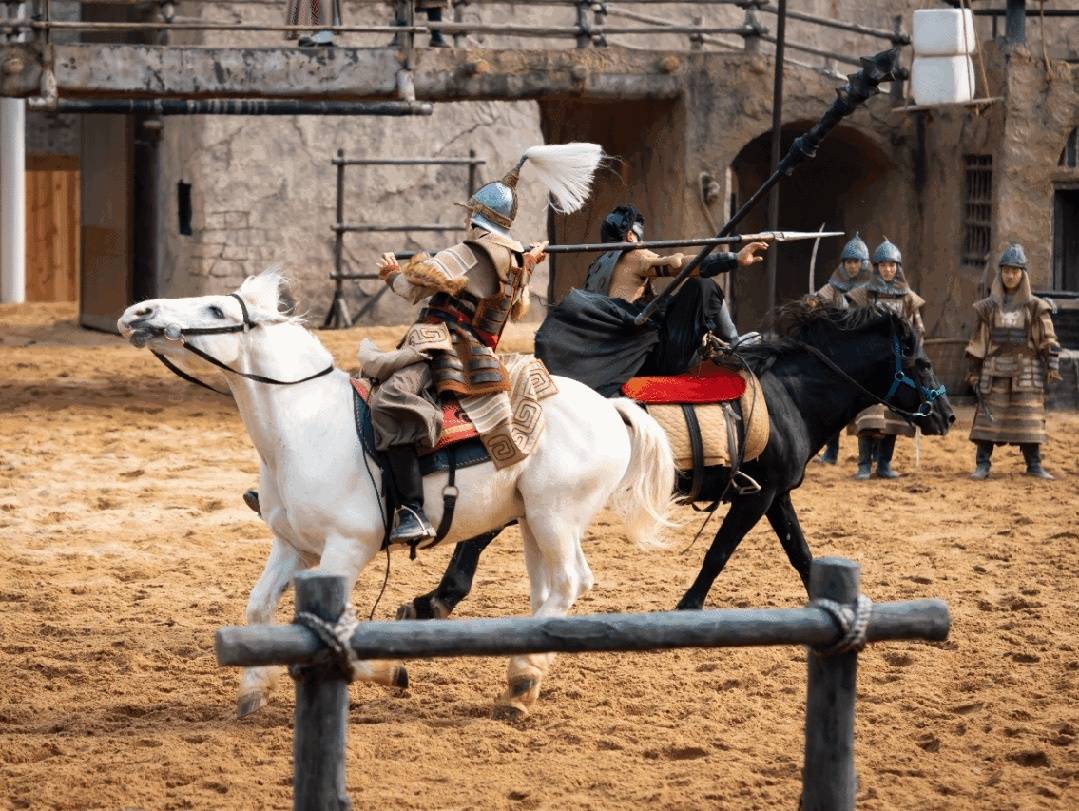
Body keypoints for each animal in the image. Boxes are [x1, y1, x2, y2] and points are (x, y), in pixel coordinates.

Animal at [120, 270, 673, 716]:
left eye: (216, 309)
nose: (138, 313)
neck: (305, 423)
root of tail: (609, 406)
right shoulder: (293, 546)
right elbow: (258, 610)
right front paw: (254, 689)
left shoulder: (347, 548)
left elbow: (336, 627)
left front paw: (391, 672)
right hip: (533, 521)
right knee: (546, 596)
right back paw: (521, 686)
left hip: (555, 516)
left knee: (568, 583)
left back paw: (521, 681)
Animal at [401, 301, 958, 616]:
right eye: (923, 362)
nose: (947, 414)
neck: (791, 396)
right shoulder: (756, 499)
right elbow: (720, 553)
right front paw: (689, 605)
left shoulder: (775, 497)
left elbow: (801, 554)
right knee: (478, 536)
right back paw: (437, 599)